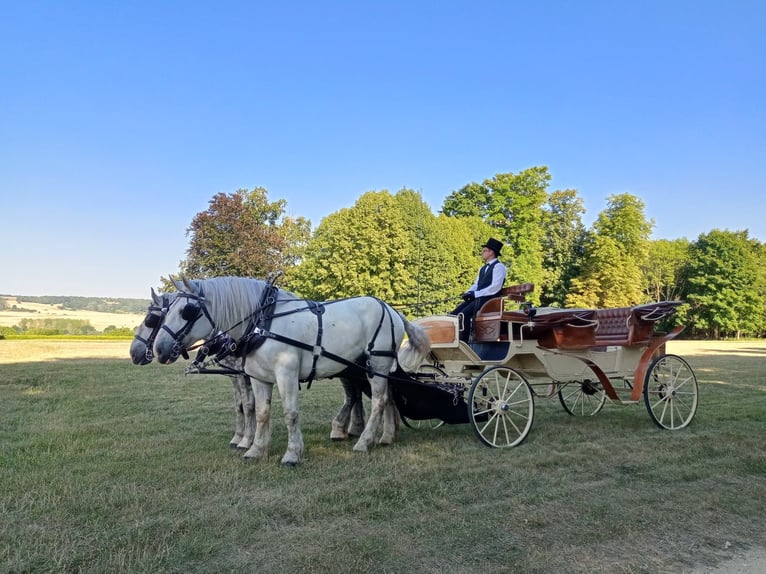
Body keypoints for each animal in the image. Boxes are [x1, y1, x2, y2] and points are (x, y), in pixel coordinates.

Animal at [154, 276, 432, 468]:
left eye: (187, 311)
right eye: (167, 311)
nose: (159, 349)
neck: (264, 322)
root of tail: (393, 310)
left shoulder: (286, 373)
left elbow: (290, 414)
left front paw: (292, 454)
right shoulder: (258, 378)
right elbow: (262, 413)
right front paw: (256, 449)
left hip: (378, 364)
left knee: (379, 401)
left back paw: (364, 442)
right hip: (369, 368)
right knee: (389, 397)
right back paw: (386, 436)